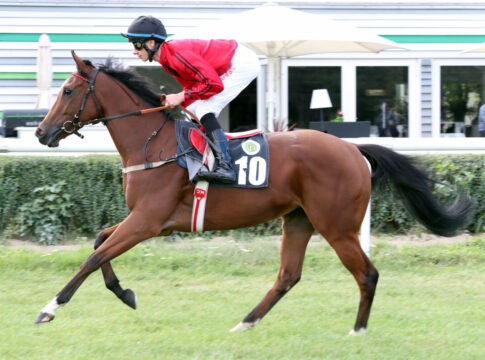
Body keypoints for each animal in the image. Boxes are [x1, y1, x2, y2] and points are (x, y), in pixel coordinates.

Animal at [32, 50, 470, 334]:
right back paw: (245, 323)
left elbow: (94, 257)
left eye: (67, 90)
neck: (152, 143)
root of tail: (352, 149)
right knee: (288, 276)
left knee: (367, 273)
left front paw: (49, 309)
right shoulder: (149, 221)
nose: (40, 132)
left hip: (337, 225)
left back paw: (357, 332)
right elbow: (98, 243)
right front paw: (125, 293)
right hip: (299, 220)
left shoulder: (147, 221)